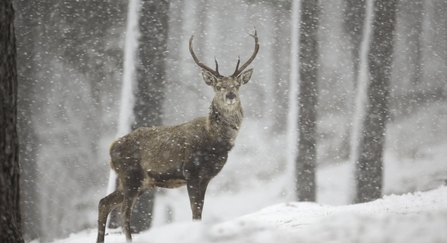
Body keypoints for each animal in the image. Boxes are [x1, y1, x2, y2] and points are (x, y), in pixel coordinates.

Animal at [97, 29, 260, 243]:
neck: (214, 142)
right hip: (131, 174)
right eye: (218, 86)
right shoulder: (190, 171)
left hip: (139, 181)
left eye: (236, 85)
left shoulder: (206, 176)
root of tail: (111, 147)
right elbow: (195, 211)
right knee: (124, 211)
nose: (230, 95)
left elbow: (200, 211)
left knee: (104, 202)